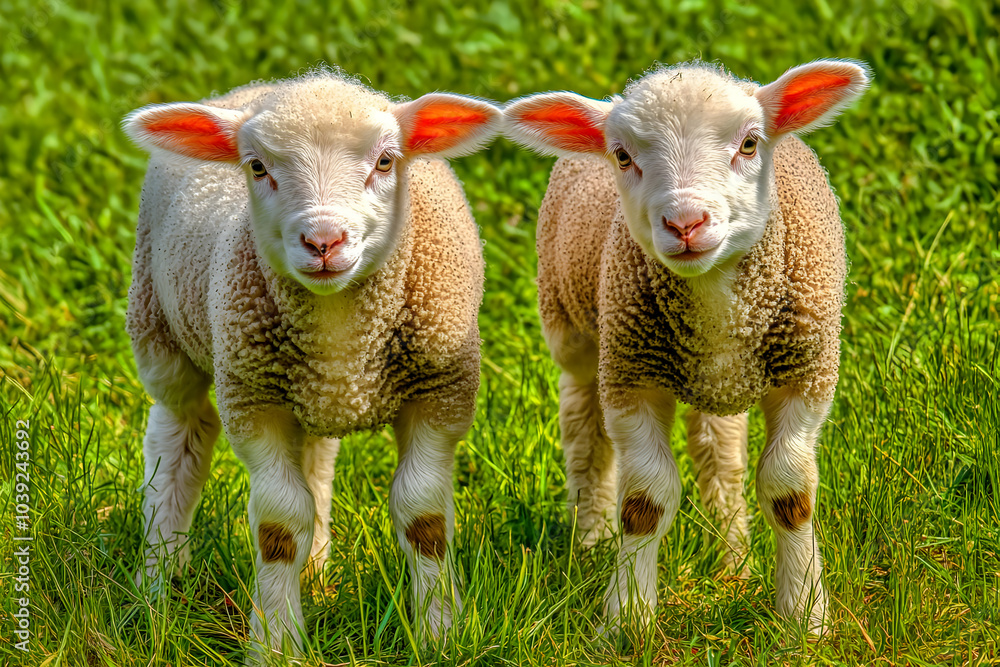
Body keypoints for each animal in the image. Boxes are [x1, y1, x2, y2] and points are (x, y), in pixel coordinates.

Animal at [122, 69, 501, 661]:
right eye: (257, 167)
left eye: (386, 161)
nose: (323, 240)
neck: (340, 330)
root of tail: (258, 87)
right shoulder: (253, 399)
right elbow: (279, 527)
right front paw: (276, 643)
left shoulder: (440, 391)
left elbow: (424, 516)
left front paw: (442, 633)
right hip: (160, 324)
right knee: (178, 439)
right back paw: (158, 582)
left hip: (303, 392)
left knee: (315, 461)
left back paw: (318, 569)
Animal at [504, 60, 870, 634]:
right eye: (623, 155)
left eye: (749, 143)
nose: (685, 222)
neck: (716, 297)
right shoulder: (631, 374)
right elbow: (645, 501)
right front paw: (628, 618)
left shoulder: (806, 374)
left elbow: (789, 492)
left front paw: (803, 616)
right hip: (575, 330)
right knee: (584, 431)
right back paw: (591, 541)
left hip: (719, 380)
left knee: (719, 455)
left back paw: (732, 561)